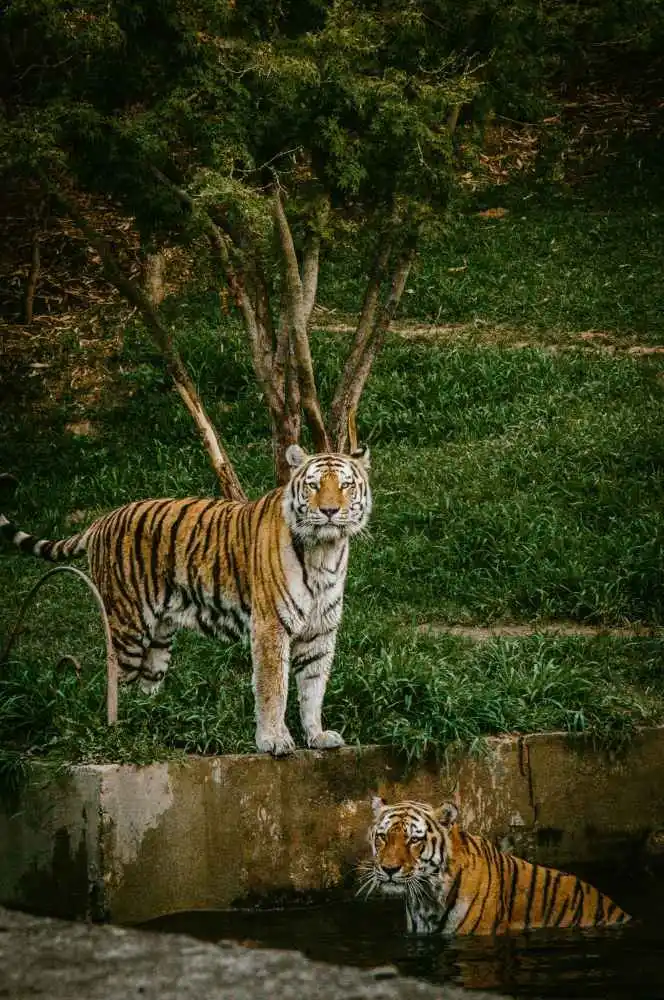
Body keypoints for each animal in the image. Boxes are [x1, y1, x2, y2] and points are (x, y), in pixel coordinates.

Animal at [0, 445, 371, 756]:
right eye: (313, 485)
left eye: (345, 486)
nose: (329, 511)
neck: (325, 551)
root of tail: (102, 519)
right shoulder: (271, 626)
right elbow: (273, 688)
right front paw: (273, 740)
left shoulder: (320, 630)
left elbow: (313, 688)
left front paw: (317, 736)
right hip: (127, 627)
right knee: (114, 683)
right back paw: (122, 729)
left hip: (159, 637)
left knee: (144, 685)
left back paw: (154, 720)